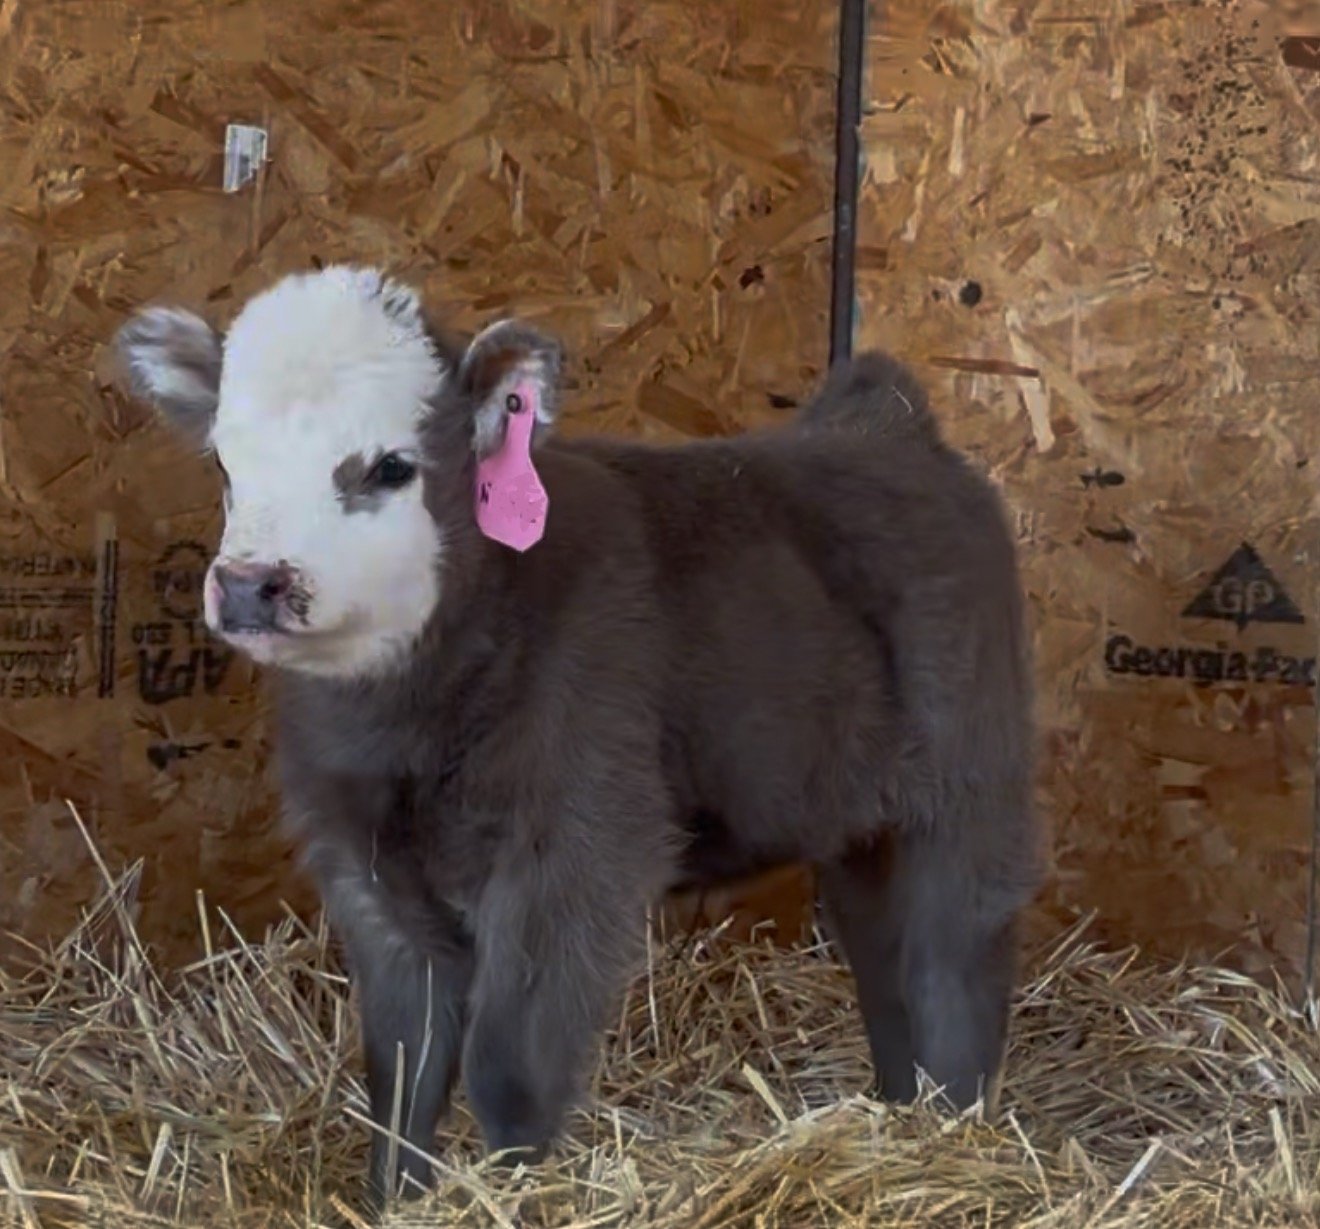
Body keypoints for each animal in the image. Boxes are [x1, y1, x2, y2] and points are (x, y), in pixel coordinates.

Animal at [114, 265, 1041, 1207]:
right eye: (225, 463)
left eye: (391, 466)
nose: (250, 583)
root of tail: (884, 426)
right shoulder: (364, 864)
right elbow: (403, 1067)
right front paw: (399, 1199)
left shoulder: (575, 849)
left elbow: (509, 1063)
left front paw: (518, 1192)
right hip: (860, 826)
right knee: (882, 963)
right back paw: (901, 1115)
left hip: (968, 791)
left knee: (953, 960)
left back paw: (956, 1133)